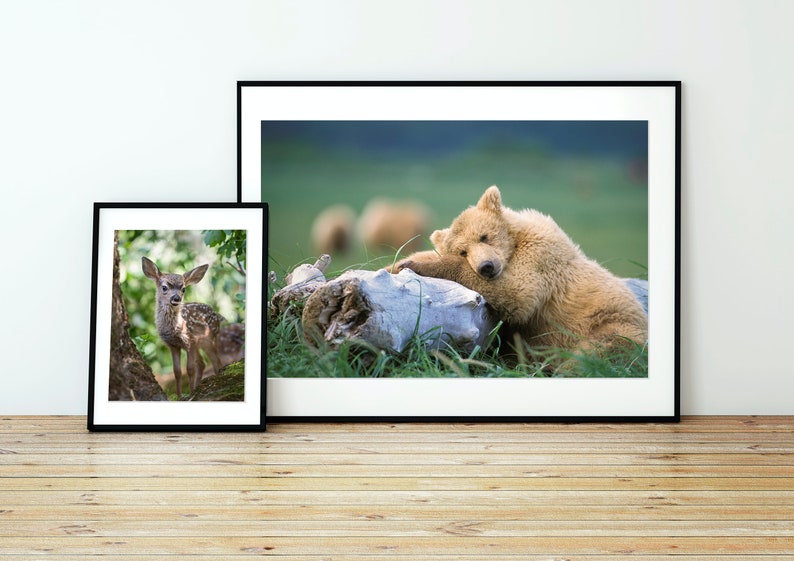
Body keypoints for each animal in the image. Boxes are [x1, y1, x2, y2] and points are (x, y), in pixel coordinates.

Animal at [141, 256, 226, 398]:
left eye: (183, 289)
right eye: (164, 287)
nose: (176, 298)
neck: (174, 328)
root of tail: (218, 315)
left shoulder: (189, 341)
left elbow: (190, 369)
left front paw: (191, 394)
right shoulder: (172, 345)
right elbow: (177, 371)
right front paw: (180, 396)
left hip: (208, 338)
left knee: (216, 362)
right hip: (200, 343)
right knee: (202, 364)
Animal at [391, 185, 648, 356]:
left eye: (484, 236)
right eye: (463, 251)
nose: (486, 267)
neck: (515, 242)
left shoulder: (540, 256)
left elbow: (517, 292)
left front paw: (416, 265)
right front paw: (399, 264)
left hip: (609, 324)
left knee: (600, 349)